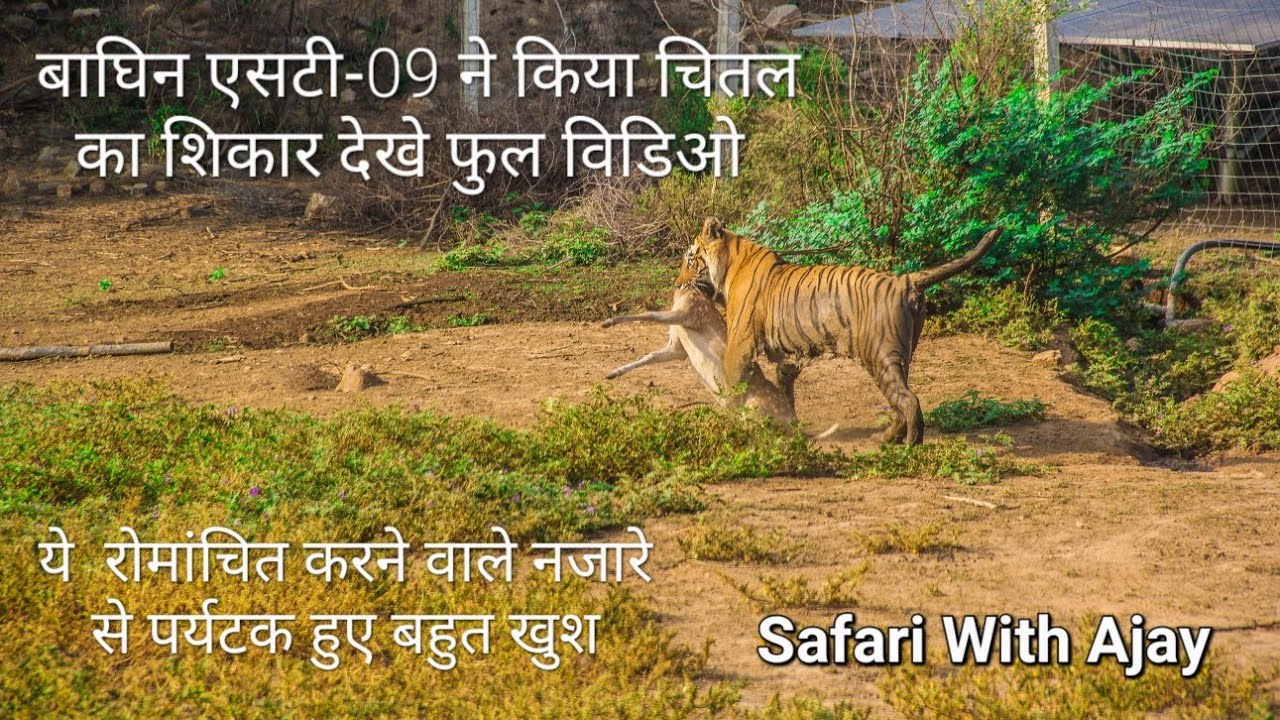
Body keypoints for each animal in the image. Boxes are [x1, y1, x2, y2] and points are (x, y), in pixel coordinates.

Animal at [686, 217, 1002, 445]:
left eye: (690, 260)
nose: (679, 283)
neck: (731, 262)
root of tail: (904, 280)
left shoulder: (740, 344)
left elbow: (733, 387)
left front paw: (732, 426)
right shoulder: (788, 358)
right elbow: (784, 389)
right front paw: (790, 425)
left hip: (879, 355)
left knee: (909, 402)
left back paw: (911, 448)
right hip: (900, 356)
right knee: (900, 401)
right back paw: (885, 439)